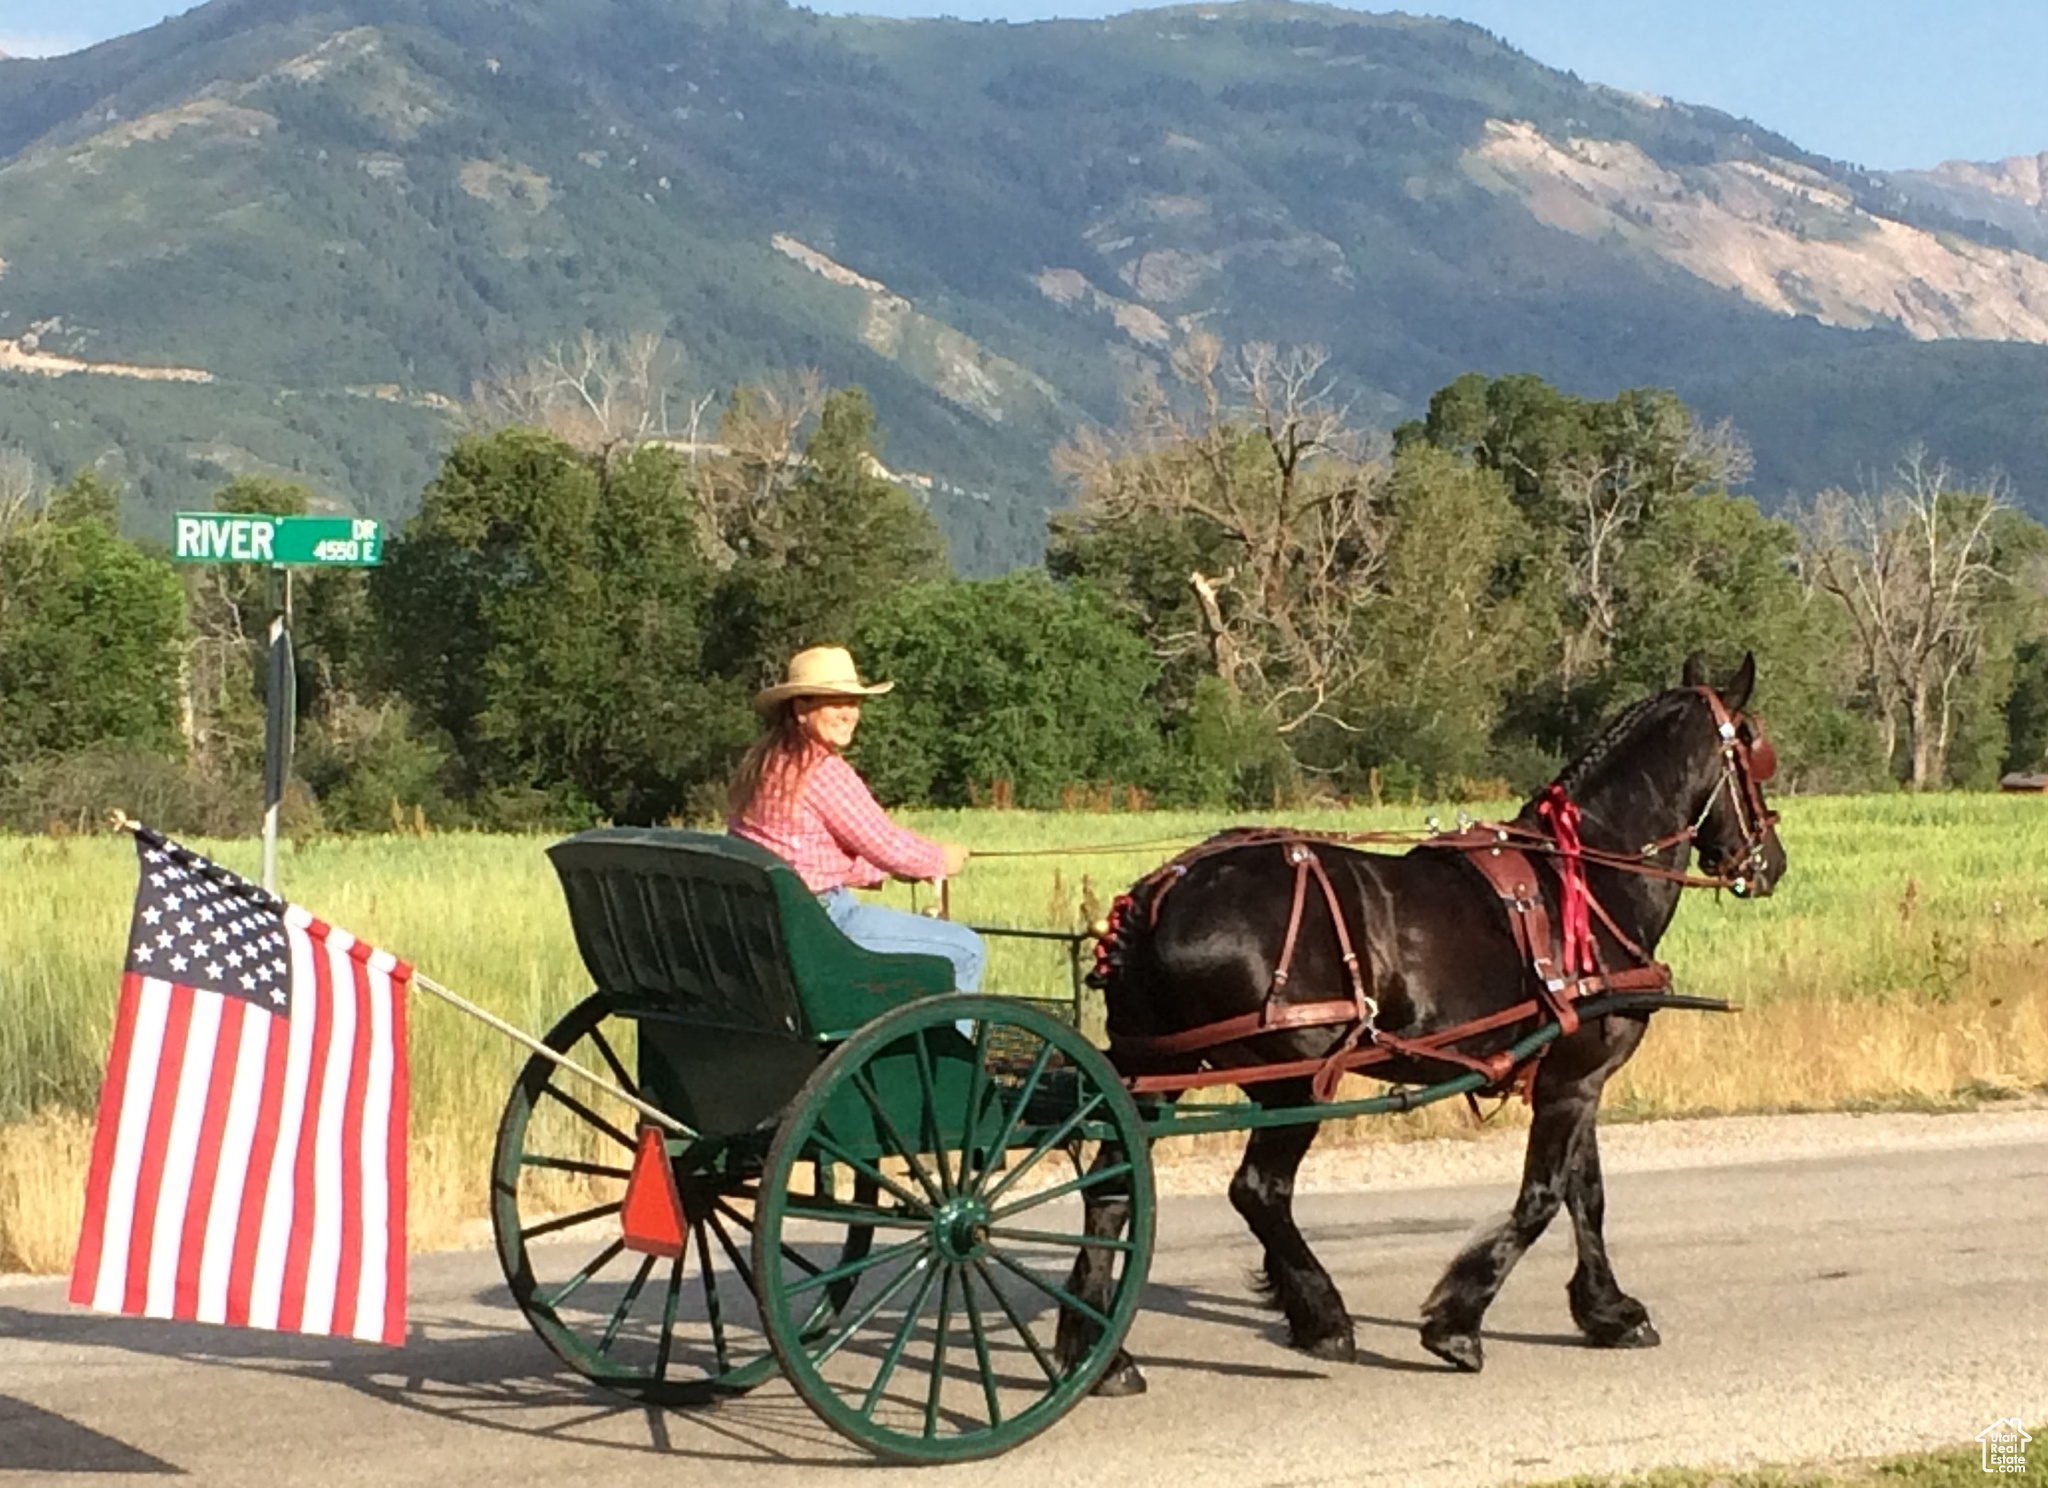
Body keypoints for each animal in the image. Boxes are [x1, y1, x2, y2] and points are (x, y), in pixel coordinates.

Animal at [1064, 659, 1785, 1391]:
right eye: (1755, 750)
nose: (1771, 863)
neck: (1587, 877)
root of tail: (1158, 892)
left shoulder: (1575, 1074)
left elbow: (1587, 1195)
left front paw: (1607, 1311)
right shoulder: (1574, 1079)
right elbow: (1543, 1198)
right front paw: (1456, 1324)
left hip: (1156, 1068)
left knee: (1113, 1190)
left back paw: (1101, 1353)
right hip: (1293, 1080)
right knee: (1258, 1191)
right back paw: (1323, 1319)